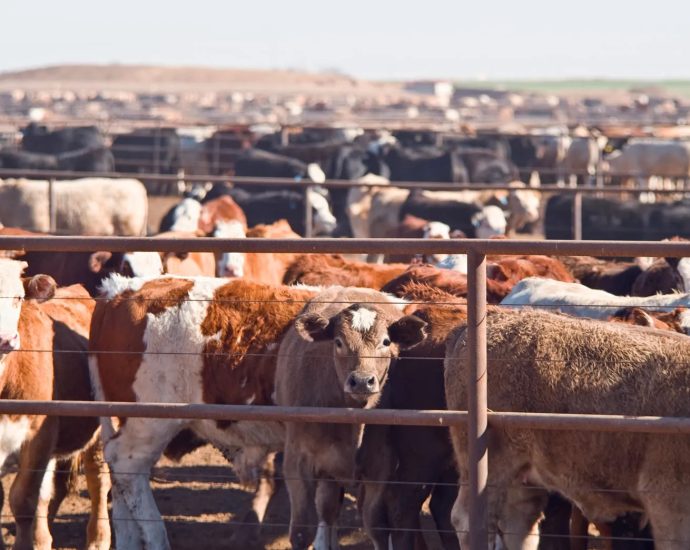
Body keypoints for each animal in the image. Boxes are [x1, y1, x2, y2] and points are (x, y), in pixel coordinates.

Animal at [0, 259, 110, 549]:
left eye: (17, 297)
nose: (5, 340)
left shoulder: (39, 434)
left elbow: (23, 499)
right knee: (45, 492)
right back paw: (42, 539)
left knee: (98, 480)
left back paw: (98, 539)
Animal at [274, 287, 428, 549]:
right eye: (338, 342)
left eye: (386, 342)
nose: (362, 381)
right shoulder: (296, 462)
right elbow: (302, 532)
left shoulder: (381, 467)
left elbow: (376, 527)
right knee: (327, 512)